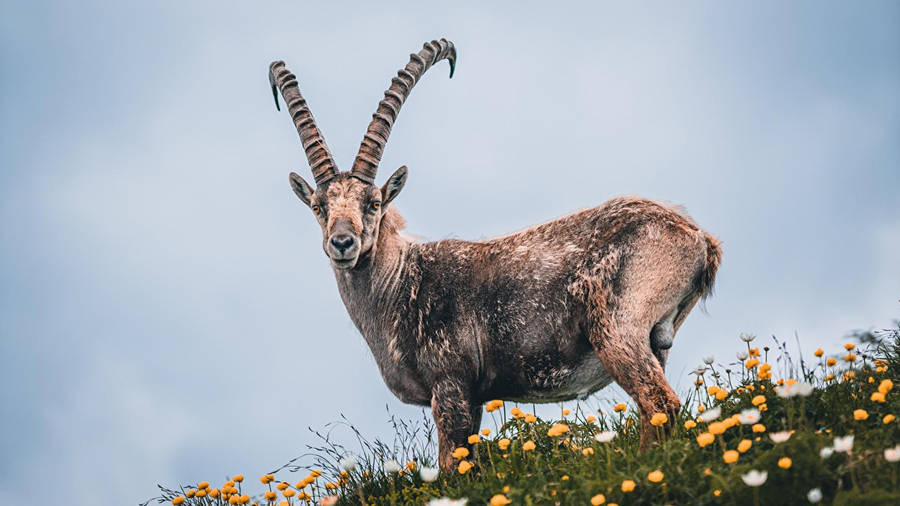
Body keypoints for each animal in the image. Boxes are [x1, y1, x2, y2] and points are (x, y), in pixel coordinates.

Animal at [268, 38, 722, 469]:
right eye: (318, 206)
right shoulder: (475, 399)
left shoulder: (450, 385)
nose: (342, 242)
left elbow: (453, 466)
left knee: (659, 403)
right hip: (656, 343)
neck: (399, 286)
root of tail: (698, 237)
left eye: (374, 203)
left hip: (617, 329)